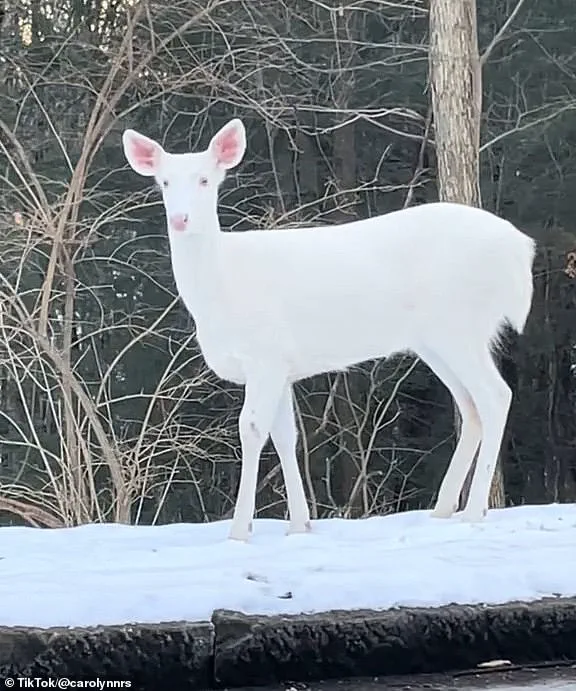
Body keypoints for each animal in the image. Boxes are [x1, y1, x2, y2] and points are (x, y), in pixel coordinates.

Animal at [121, 119, 536, 544]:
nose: (181, 219)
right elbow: (286, 435)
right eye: (164, 182)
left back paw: (473, 511)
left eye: (205, 179)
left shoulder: (266, 354)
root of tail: (521, 249)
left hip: (458, 323)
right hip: (437, 339)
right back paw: (442, 509)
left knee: (495, 395)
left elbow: (251, 429)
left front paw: (239, 531)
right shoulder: (282, 365)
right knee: (470, 406)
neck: (221, 288)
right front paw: (300, 524)